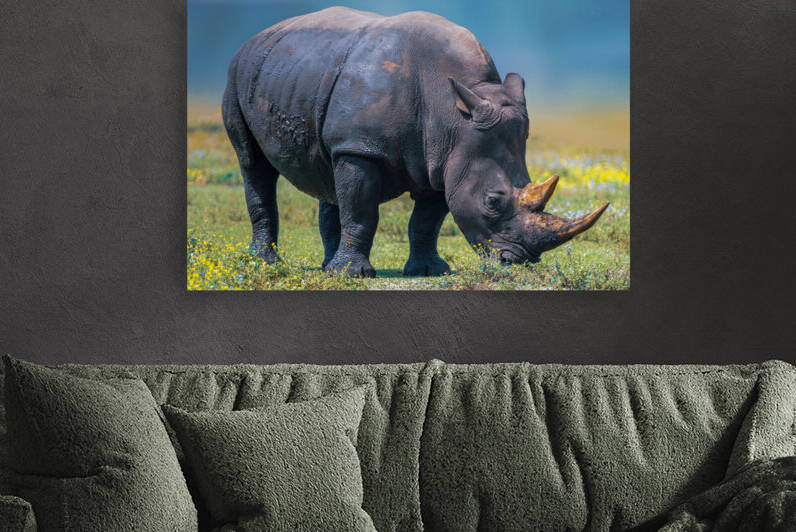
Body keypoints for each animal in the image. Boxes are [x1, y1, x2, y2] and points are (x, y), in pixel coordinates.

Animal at [222, 6, 608, 277]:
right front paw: (354, 275)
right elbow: (361, 210)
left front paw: (429, 270)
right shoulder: (363, 148)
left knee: (329, 172)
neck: (454, 115)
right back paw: (268, 265)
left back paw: (327, 266)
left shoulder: (445, 160)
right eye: (493, 201)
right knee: (253, 164)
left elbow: (426, 220)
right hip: (239, 73)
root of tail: (257, 37)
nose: (517, 261)